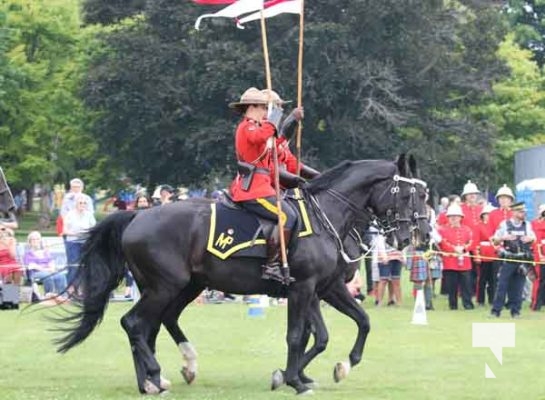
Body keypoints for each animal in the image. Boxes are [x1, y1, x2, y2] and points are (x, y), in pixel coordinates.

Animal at [57, 155, 428, 394]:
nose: (417, 236)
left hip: (182, 287)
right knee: (134, 324)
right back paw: (156, 376)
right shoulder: (304, 289)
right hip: (165, 287)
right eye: (413, 194)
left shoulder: (325, 288)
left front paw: (332, 367)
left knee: (152, 326)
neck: (329, 216)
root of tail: (137, 215)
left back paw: (156, 378)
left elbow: (346, 326)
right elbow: (300, 335)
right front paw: (292, 378)